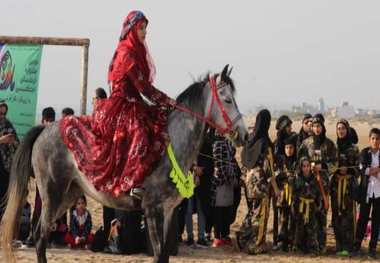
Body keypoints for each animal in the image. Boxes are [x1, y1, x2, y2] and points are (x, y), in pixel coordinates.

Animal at [1, 64, 248, 263]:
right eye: (227, 100)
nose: (244, 135)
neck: (173, 143)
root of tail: (44, 129)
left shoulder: (168, 211)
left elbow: (165, 256)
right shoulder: (153, 210)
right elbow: (158, 255)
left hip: (68, 194)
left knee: (39, 234)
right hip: (52, 194)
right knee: (41, 237)